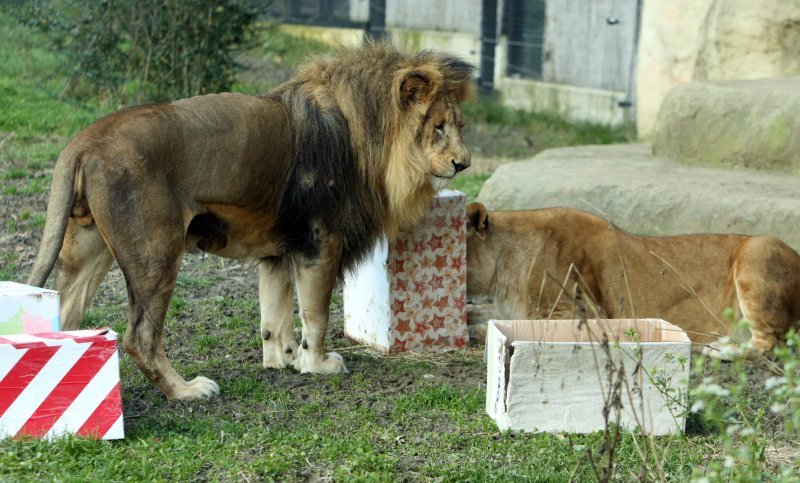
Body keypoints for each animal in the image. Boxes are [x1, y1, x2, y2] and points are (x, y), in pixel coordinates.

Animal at [26, 44, 476, 400]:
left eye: (461, 126)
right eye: (438, 128)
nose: (464, 163)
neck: (368, 134)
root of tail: (85, 140)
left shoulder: (279, 250)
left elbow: (274, 315)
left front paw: (282, 360)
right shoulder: (321, 241)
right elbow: (315, 314)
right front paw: (318, 364)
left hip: (89, 251)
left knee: (65, 316)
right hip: (156, 252)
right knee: (141, 337)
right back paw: (187, 391)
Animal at [462, 202, 800, 358]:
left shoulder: (583, 315)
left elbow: (500, 326)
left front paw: (468, 332)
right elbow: (481, 313)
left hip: (758, 249)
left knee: (772, 343)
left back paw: (719, 350)